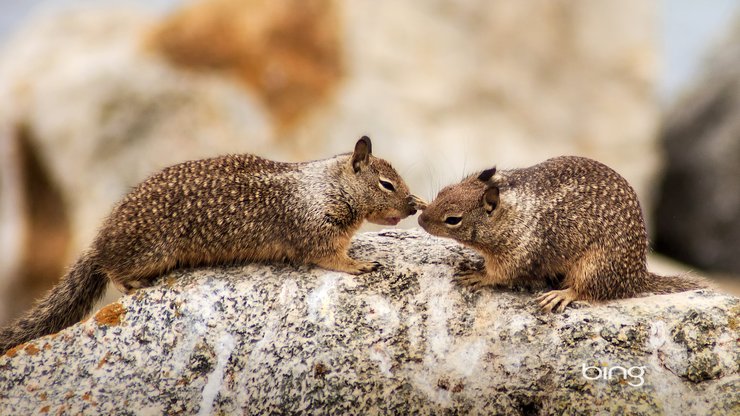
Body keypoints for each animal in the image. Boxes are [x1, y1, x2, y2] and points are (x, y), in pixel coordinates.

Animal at [0, 137, 422, 354]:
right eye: (386, 184)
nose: (413, 205)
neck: (328, 184)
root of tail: (100, 238)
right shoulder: (316, 230)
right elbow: (330, 257)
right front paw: (359, 265)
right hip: (150, 252)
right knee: (113, 269)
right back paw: (134, 283)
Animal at [416, 156, 704, 312]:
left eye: (453, 219)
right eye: (443, 191)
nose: (420, 219)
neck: (511, 215)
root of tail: (637, 277)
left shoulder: (518, 254)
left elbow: (500, 274)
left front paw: (477, 275)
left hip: (595, 266)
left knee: (588, 291)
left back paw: (561, 295)